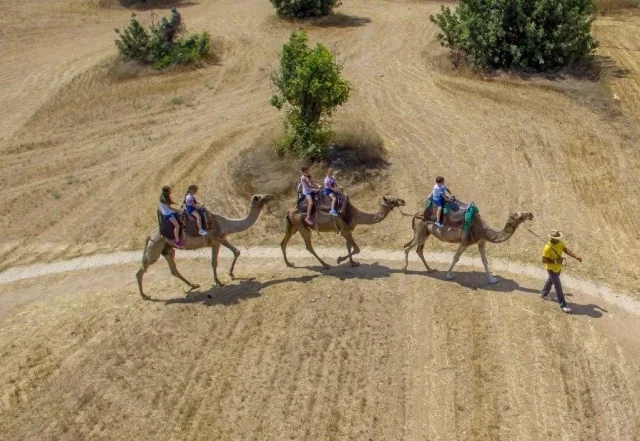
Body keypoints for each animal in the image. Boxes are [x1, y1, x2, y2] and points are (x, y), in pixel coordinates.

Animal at [136, 194, 274, 298]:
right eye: (259, 197)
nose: (270, 196)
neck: (226, 223)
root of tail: (149, 236)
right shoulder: (215, 241)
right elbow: (214, 262)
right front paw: (218, 281)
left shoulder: (222, 238)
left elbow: (236, 251)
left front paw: (231, 274)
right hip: (155, 246)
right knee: (142, 269)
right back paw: (145, 296)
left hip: (167, 249)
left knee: (173, 269)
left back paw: (193, 285)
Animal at [403, 205, 534, 283]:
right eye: (519, 215)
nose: (531, 214)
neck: (483, 230)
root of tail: (416, 215)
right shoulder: (465, 242)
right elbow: (456, 258)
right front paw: (449, 275)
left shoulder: (481, 242)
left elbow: (485, 260)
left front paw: (492, 279)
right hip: (420, 230)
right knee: (407, 246)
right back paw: (405, 269)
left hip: (426, 233)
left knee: (418, 249)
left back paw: (430, 269)